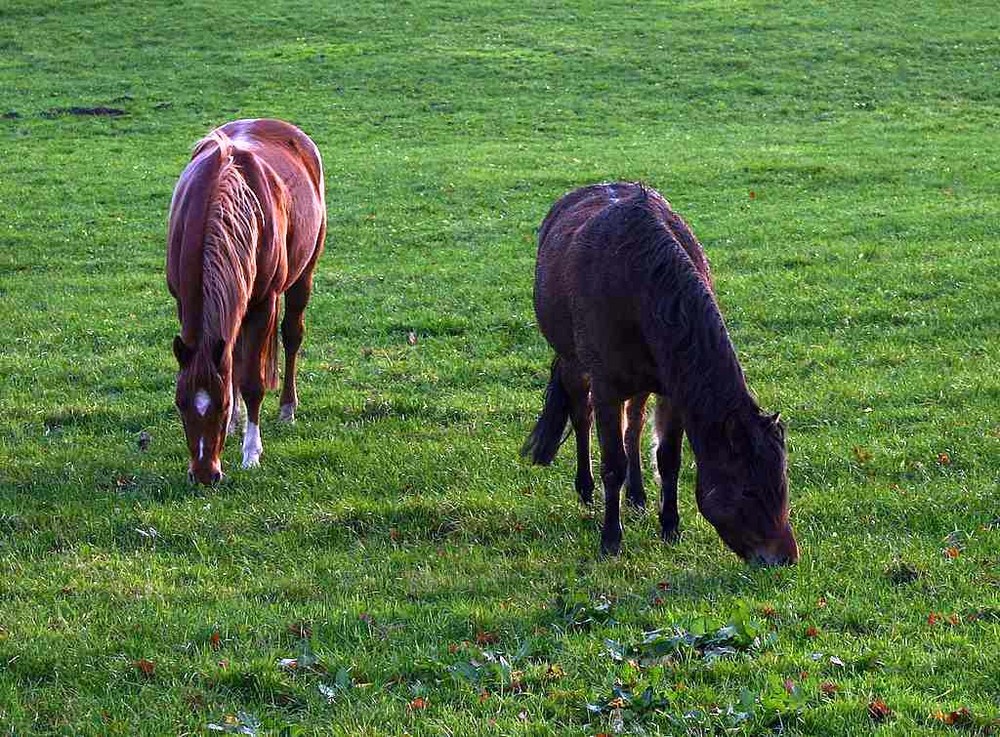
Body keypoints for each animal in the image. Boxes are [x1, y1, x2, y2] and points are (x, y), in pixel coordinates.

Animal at [167, 118, 324, 484]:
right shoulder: (184, 301)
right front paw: (235, 425)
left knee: (292, 336)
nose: (205, 474)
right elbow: (231, 365)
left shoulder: (263, 303)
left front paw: (251, 452)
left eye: (221, 405)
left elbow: (252, 381)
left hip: (303, 275)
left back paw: (287, 409)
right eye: (180, 403)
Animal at [524, 180, 796, 564]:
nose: (785, 556)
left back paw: (637, 496)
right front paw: (611, 540)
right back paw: (586, 489)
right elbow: (612, 462)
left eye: (782, 483)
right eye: (747, 491)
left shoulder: (672, 388)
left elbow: (668, 458)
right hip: (572, 357)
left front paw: (670, 527)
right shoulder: (606, 384)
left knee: (635, 424)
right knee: (581, 414)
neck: (636, 288)